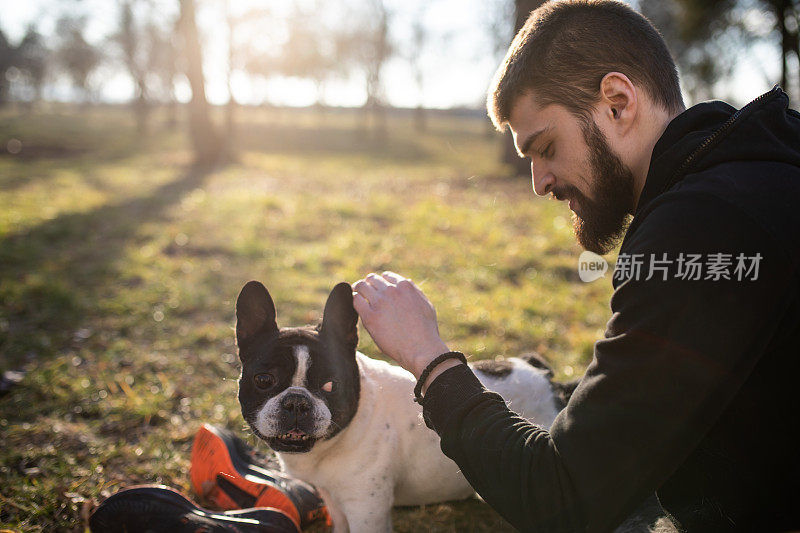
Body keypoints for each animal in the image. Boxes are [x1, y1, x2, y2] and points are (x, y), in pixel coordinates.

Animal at [234, 278, 672, 532]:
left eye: (330, 385)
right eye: (264, 381)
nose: (296, 402)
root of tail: (552, 381)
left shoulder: (366, 509)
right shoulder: (336, 501)